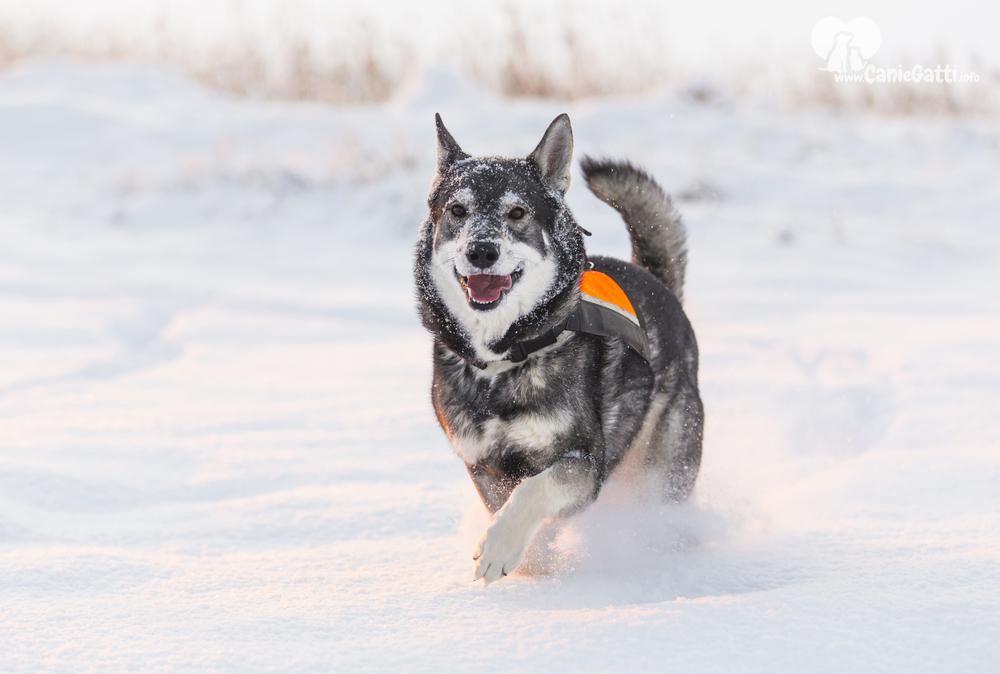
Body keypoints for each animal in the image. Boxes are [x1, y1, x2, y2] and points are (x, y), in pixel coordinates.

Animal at [414, 113, 704, 580]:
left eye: (517, 212)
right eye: (458, 210)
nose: (481, 251)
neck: (502, 359)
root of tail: (658, 284)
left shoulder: (582, 460)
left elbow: (535, 490)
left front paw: (500, 547)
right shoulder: (484, 466)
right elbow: (514, 509)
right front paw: (531, 561)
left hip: (663, 468)